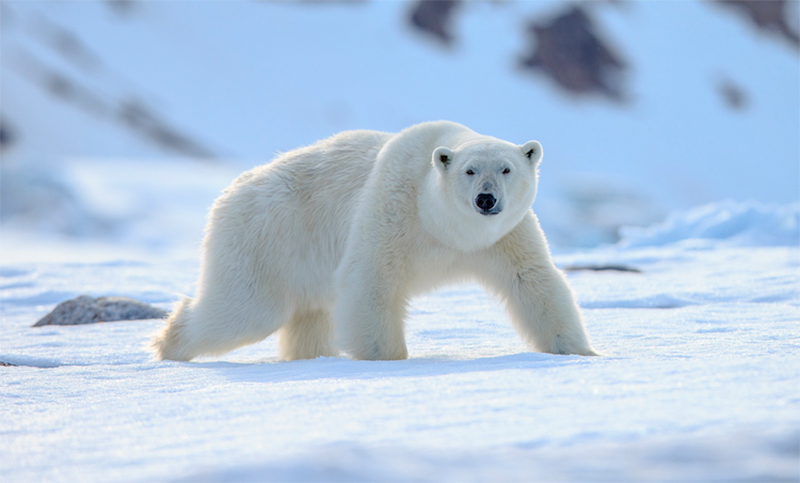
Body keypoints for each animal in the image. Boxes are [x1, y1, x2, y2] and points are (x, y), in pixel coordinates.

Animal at [151, 121, 597, 361]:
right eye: (469, 170)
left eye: (506, 168)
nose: (486, 200)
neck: (444, 226)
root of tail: (230, 191)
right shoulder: (393, 209)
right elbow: (372, 280)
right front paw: (387, 360)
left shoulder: (504, 237)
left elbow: (533, 281)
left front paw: (581, 352)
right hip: (266, 239)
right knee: (244, 309)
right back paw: (168, 344)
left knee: (309, 316)